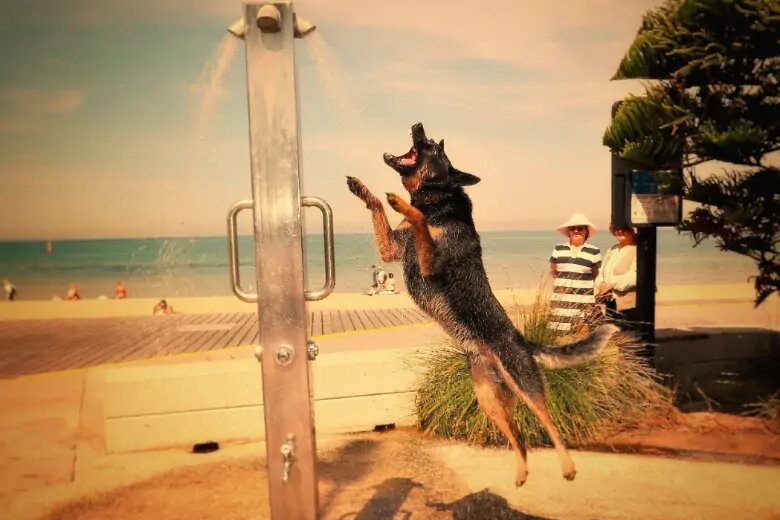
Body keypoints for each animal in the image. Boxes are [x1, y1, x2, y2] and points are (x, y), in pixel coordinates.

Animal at [346, 123, 619, 487]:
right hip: (489, 400)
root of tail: (523, 342)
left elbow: (417, 219)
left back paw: (568, 467)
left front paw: (402, 204)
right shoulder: (391, 249)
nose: (417, 125)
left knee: (549, 425)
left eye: (432, 146)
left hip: (525, 386)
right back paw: (521, 473)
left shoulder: (430, 263)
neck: (437, 200)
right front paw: (361, 188)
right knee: (519, 438)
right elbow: (377, 205)